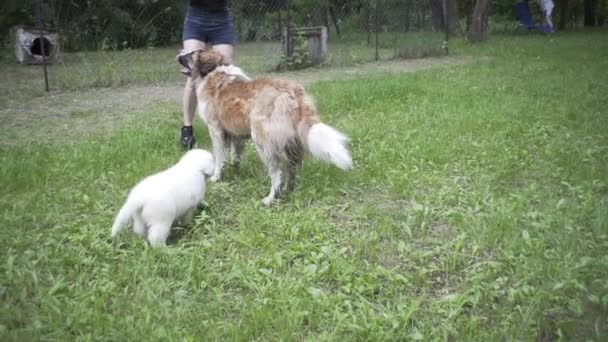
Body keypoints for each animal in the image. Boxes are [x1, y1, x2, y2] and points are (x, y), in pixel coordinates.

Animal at [177, 47, 352, 203]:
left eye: (191, 54)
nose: (179, 54)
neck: (212, 71)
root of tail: (293, 91)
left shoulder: (215, 129)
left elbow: (219, 158)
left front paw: (216, 177)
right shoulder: (235, 133)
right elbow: (235, 153)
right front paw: (235, 168)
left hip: (262, 140)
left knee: (277, 173)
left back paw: (271, 198)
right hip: (288, 143)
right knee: (291, 168)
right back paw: (288, 190)